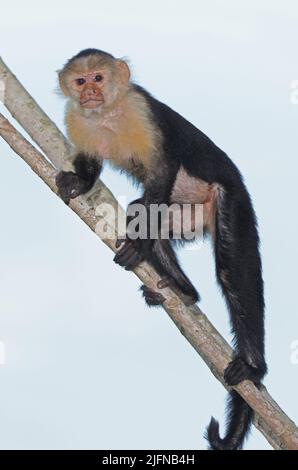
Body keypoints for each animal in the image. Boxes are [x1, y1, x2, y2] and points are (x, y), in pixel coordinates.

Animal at [56, 48, 268, 452]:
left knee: (233, 271)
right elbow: (92, 163)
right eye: (81, 80)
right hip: (187, 215)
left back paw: (252, 365)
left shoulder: (141, 111)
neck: (107, 115)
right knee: (141, 212)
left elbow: (162, 170)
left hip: (230, 198)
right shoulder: (75, 117)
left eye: (99, 79)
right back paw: (183, 290)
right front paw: (79, 181)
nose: (89, 93)